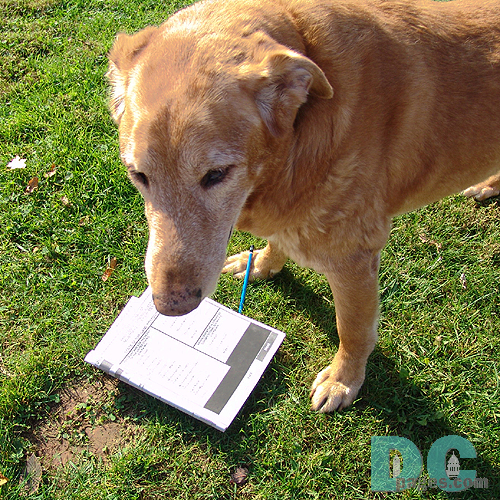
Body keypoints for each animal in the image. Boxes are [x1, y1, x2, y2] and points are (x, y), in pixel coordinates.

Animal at [107, 0, 500, 413]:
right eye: (139, 175)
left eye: (216, 174)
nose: (170, 308)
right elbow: (277, 243)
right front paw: (262, 263)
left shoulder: (354, 261)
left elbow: (353, 329)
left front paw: (343, 381)